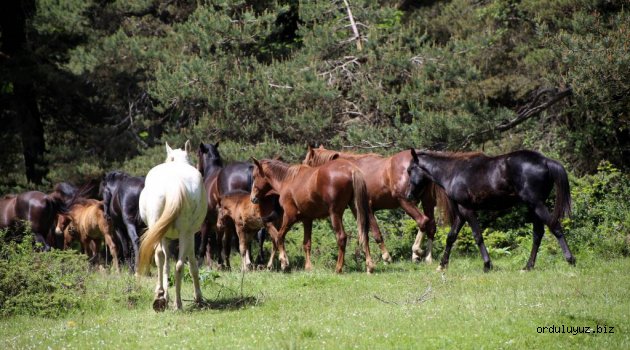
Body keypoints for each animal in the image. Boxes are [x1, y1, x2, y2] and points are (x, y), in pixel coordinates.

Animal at [304, 145, 446, 262]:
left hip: (406, 202)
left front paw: (386, 257)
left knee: (422, 221)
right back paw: (427, 257)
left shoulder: (367, 208)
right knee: (431, 226)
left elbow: (376, 233)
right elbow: (365, 233)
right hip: (427, 202)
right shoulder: (358, 210)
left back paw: (416, 251)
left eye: (307, 162)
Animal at [410, 149, 576, 272]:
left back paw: (570, 260)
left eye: (410, 169)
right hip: (534, 207)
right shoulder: (461, 214)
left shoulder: (467, 210)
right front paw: (442, 265)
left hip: (537, 205)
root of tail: (545, 160)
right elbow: (451, 237)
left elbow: (477, 236)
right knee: (538, 234)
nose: (409, 195)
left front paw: (487, 264)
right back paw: (528, 266)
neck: (452, 172)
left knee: (555, 227)